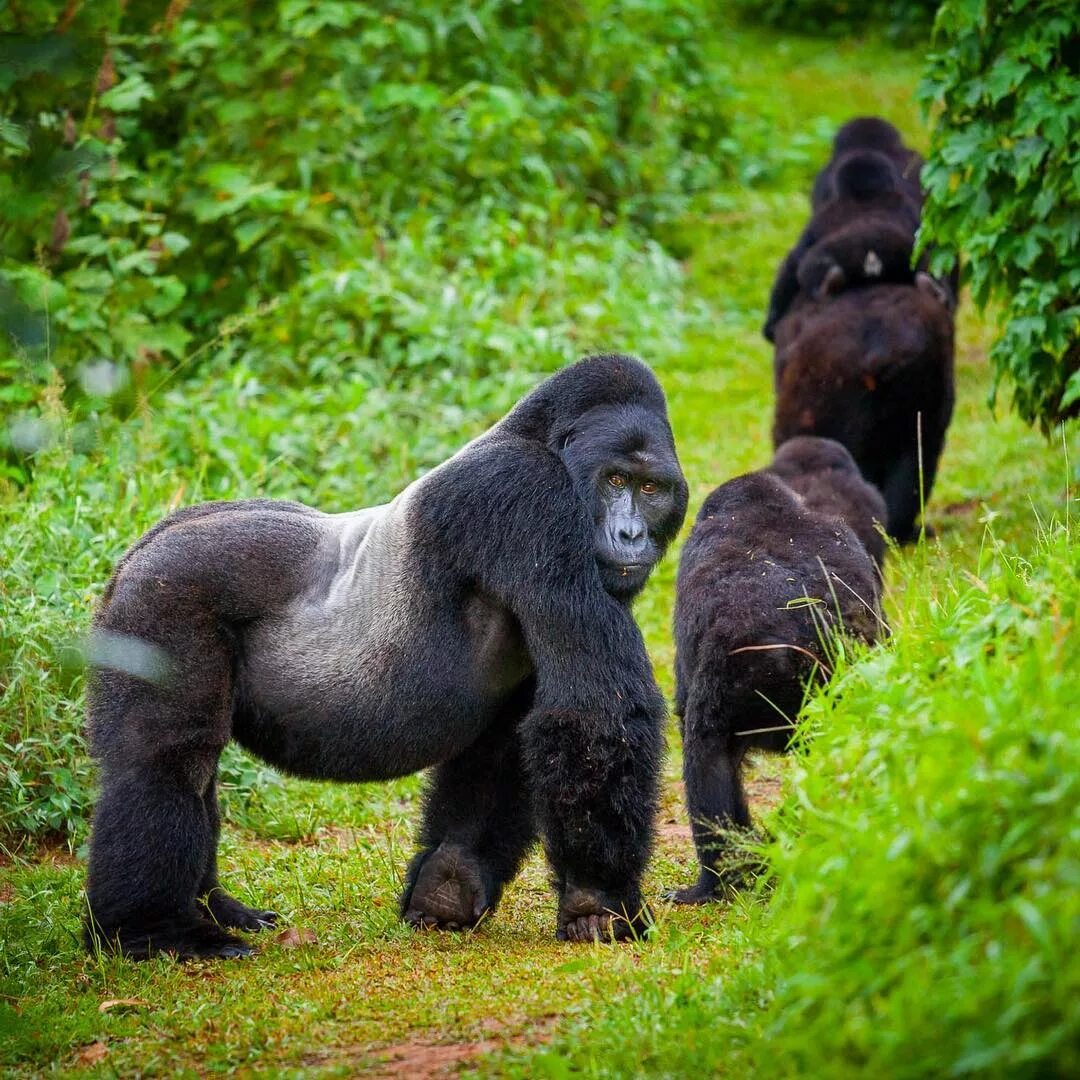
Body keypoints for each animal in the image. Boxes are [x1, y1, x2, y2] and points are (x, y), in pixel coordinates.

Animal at [86, 352, 691, 954]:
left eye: (651, 488)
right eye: (615, 480)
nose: (631, 535)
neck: (538, 438)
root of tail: (139, 549)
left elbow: (506, 746)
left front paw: (448, 884)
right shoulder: (525, 494)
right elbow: (595, 710)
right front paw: (599, 902)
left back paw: (216, 908)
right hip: (164, 597)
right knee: (168, 761)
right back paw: (154, 929)